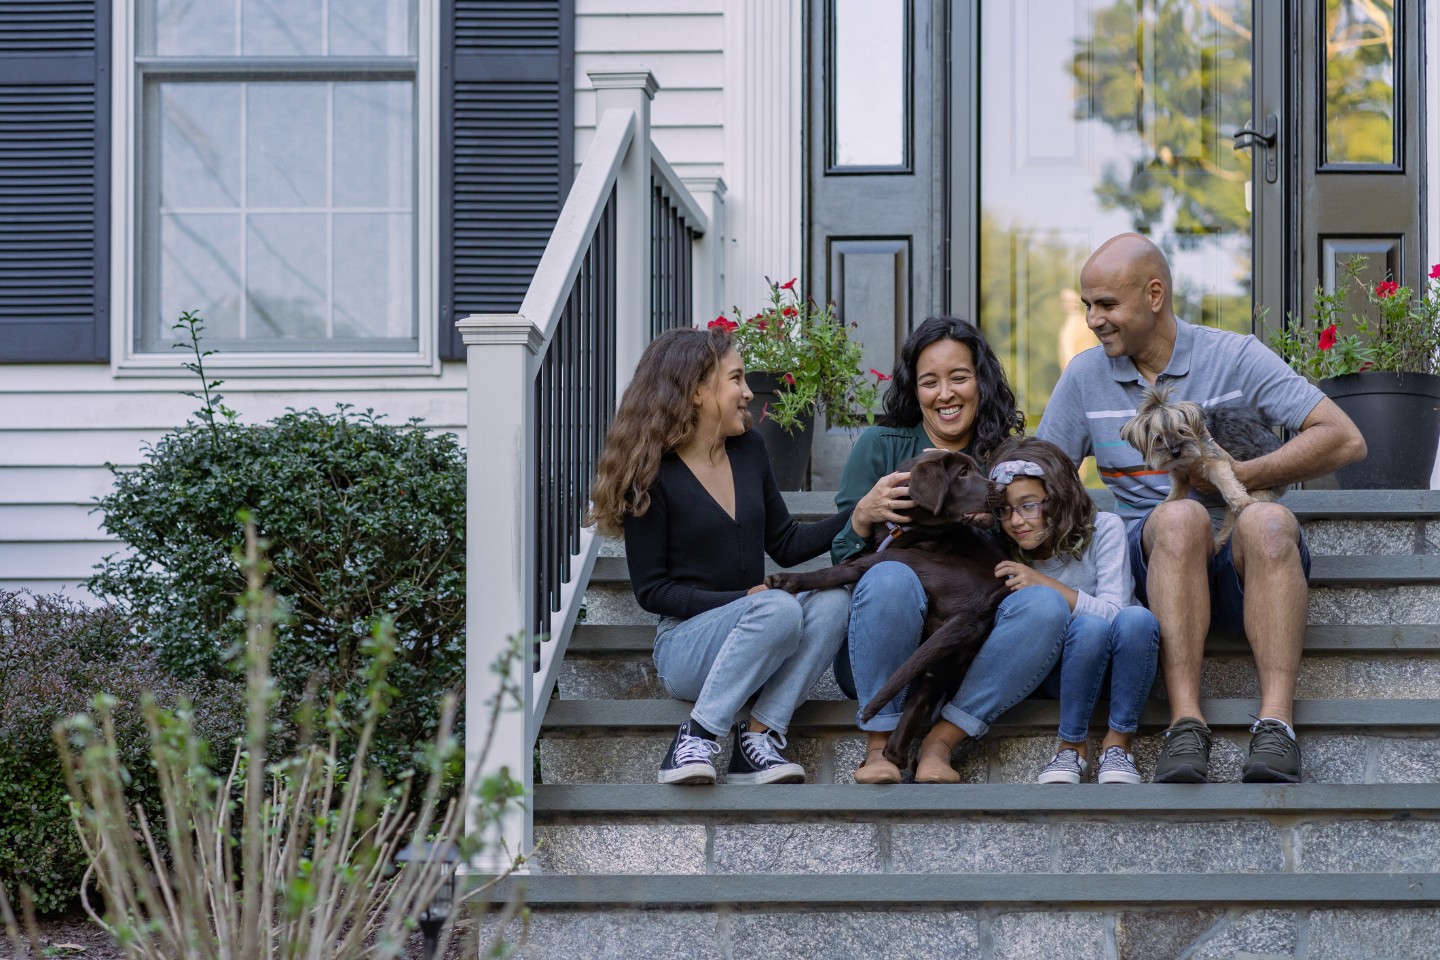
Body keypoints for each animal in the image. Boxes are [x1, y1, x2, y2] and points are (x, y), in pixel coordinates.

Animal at [1123, 385, 1284, 546]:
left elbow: (1227, 483)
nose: (1175, 452)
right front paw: (1165, 503)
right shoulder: (1180, 476)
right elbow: (1175, 495)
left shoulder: (1214, 461)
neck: (1187, 461)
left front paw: (1243, 501)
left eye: (1182, 431)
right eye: (1158, 439)